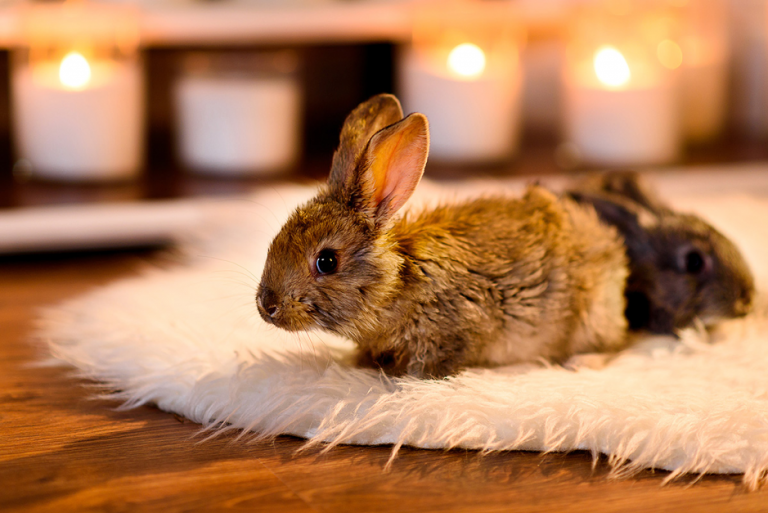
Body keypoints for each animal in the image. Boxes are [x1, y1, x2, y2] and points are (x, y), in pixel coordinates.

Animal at [256, 94, 629, 379]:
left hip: (593, 314)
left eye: (326, 261)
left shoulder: (458, 328)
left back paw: (581, 362)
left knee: (615, 344)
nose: (267, 306)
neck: (396, 283)